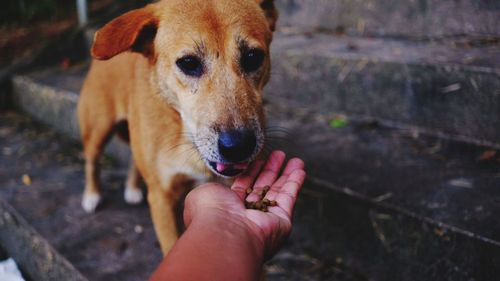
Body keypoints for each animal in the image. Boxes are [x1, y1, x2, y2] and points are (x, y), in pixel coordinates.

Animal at [77, 0, 278, 253]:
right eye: (189, 63)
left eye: (253, 57)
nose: (238, 146)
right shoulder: (162, 200)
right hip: (98, 129)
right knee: (92, 161)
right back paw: (92, 195)